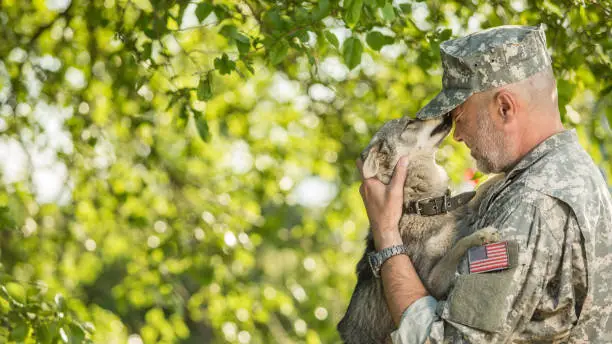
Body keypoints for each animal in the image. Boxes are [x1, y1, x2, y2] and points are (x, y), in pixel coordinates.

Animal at [338, 115, 500, 344]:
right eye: (410, 123)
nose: (448, 115)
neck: (422, 206)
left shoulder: (460, 206)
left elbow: (481, 188)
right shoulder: (431, 282)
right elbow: (457, 247)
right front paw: (481, 235)